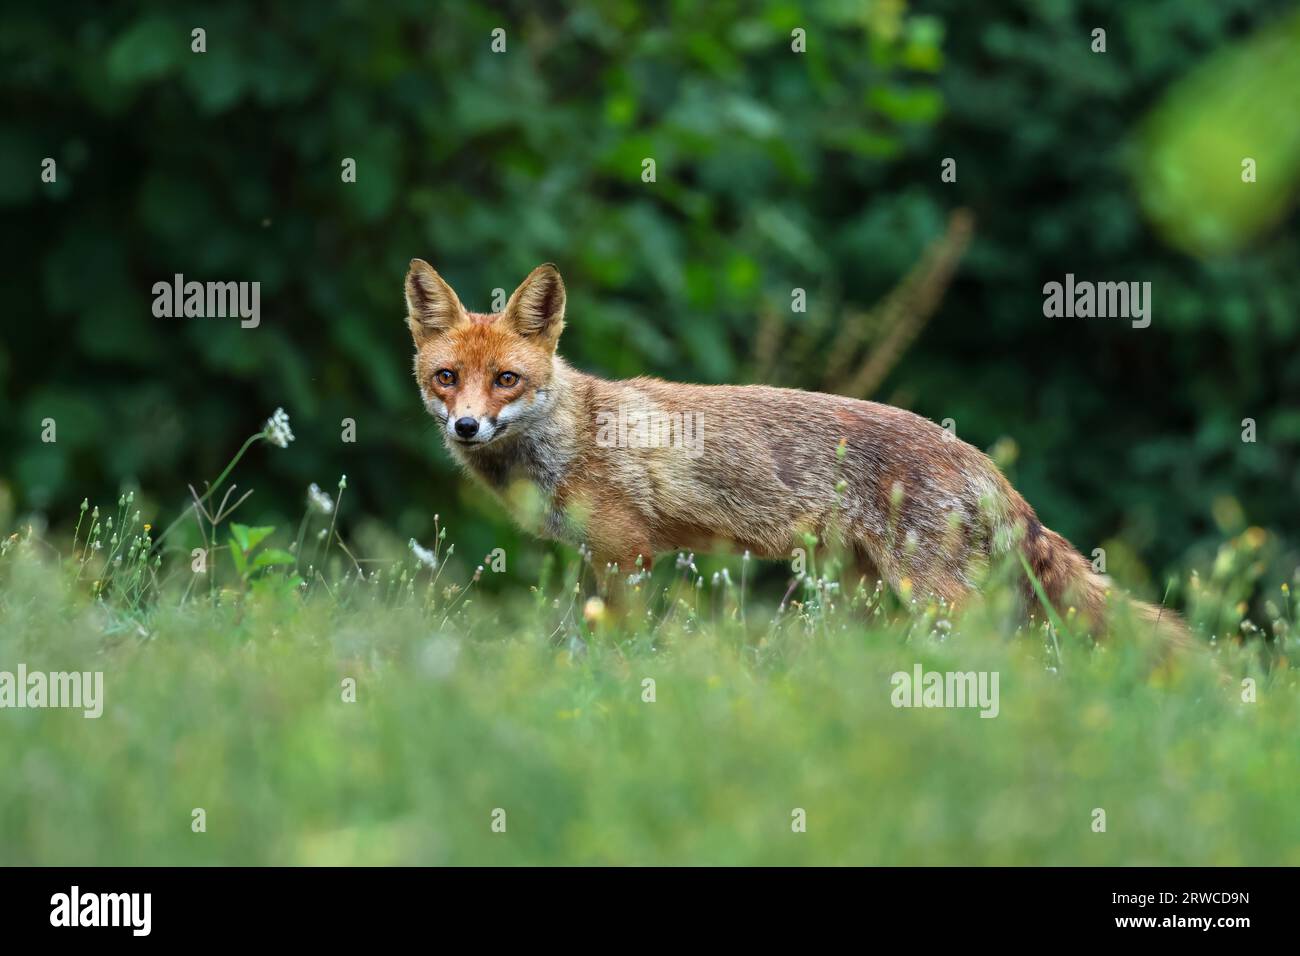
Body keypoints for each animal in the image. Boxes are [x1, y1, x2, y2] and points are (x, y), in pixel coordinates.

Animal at [405, 259, 1191, 649]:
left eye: (506, 380)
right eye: (447, 378)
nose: (467, 427)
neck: (573, 432)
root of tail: (979, 459)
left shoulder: (628, 554)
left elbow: (616, 644)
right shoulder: (603, 557)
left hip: (926, 589)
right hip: (865, 590)